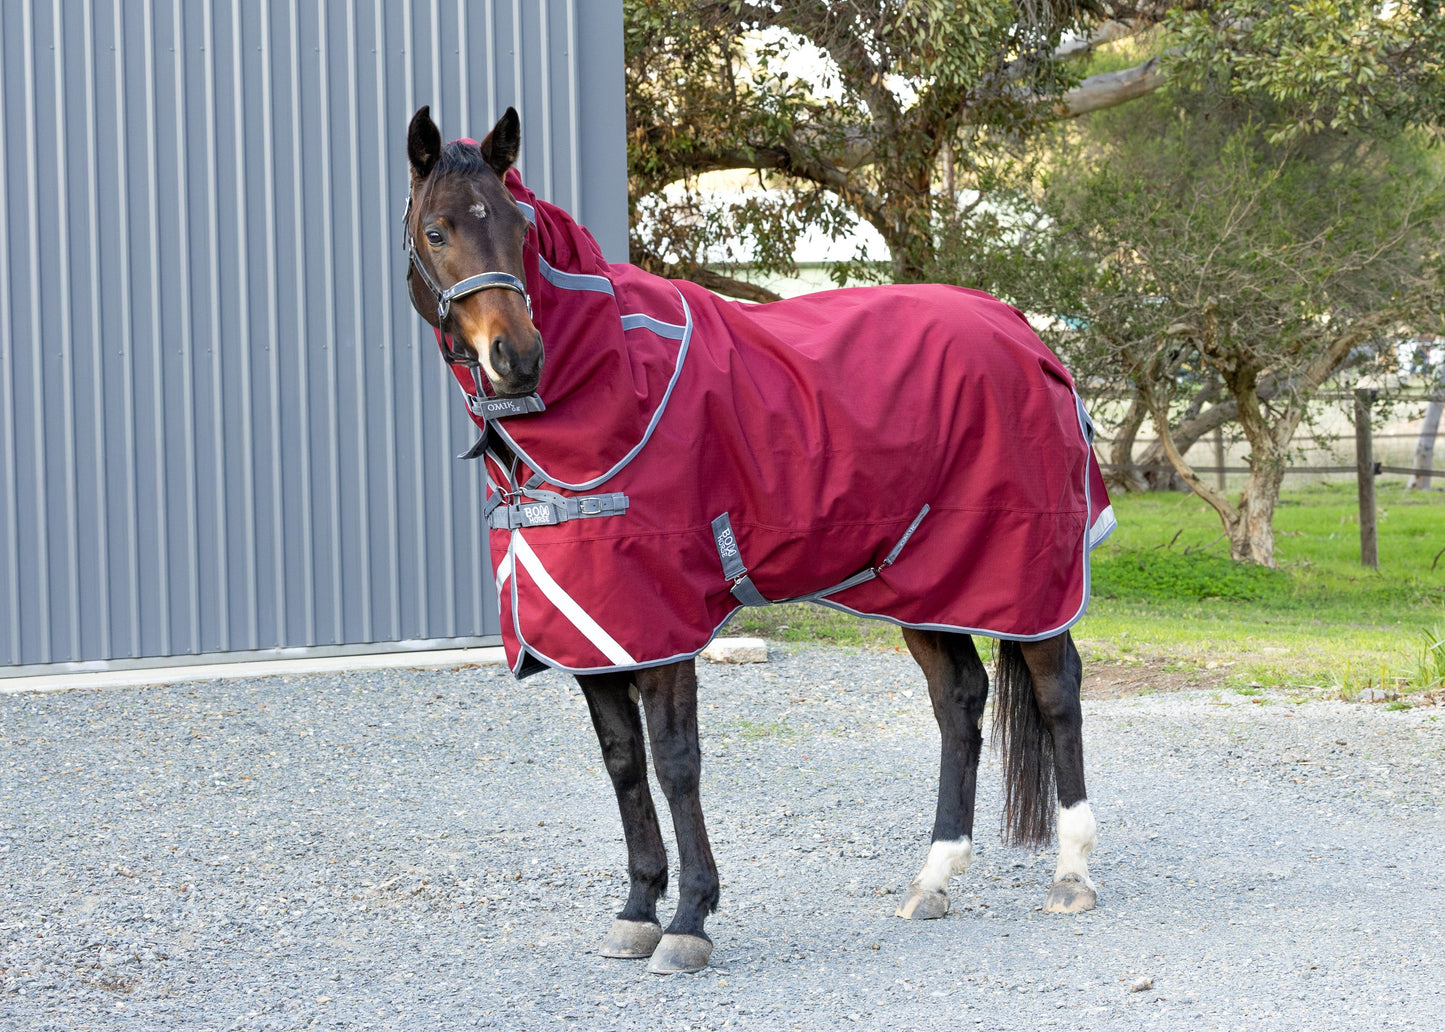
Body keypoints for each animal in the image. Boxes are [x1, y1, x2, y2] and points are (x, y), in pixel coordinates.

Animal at [402, 105, 1112, 974]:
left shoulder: (662, 621)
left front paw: (689, 921)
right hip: (924, 580)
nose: (517, 357)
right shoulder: (592, 630)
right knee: (958, 702)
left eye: (518, 227)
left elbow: (675, 762)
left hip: (1025, 573)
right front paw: (637, 909)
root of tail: (1021, 330)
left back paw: (1071, 873)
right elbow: (622, 762)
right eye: (437, 231)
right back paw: (934, 877)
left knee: (1056, 693)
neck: (610, 380)